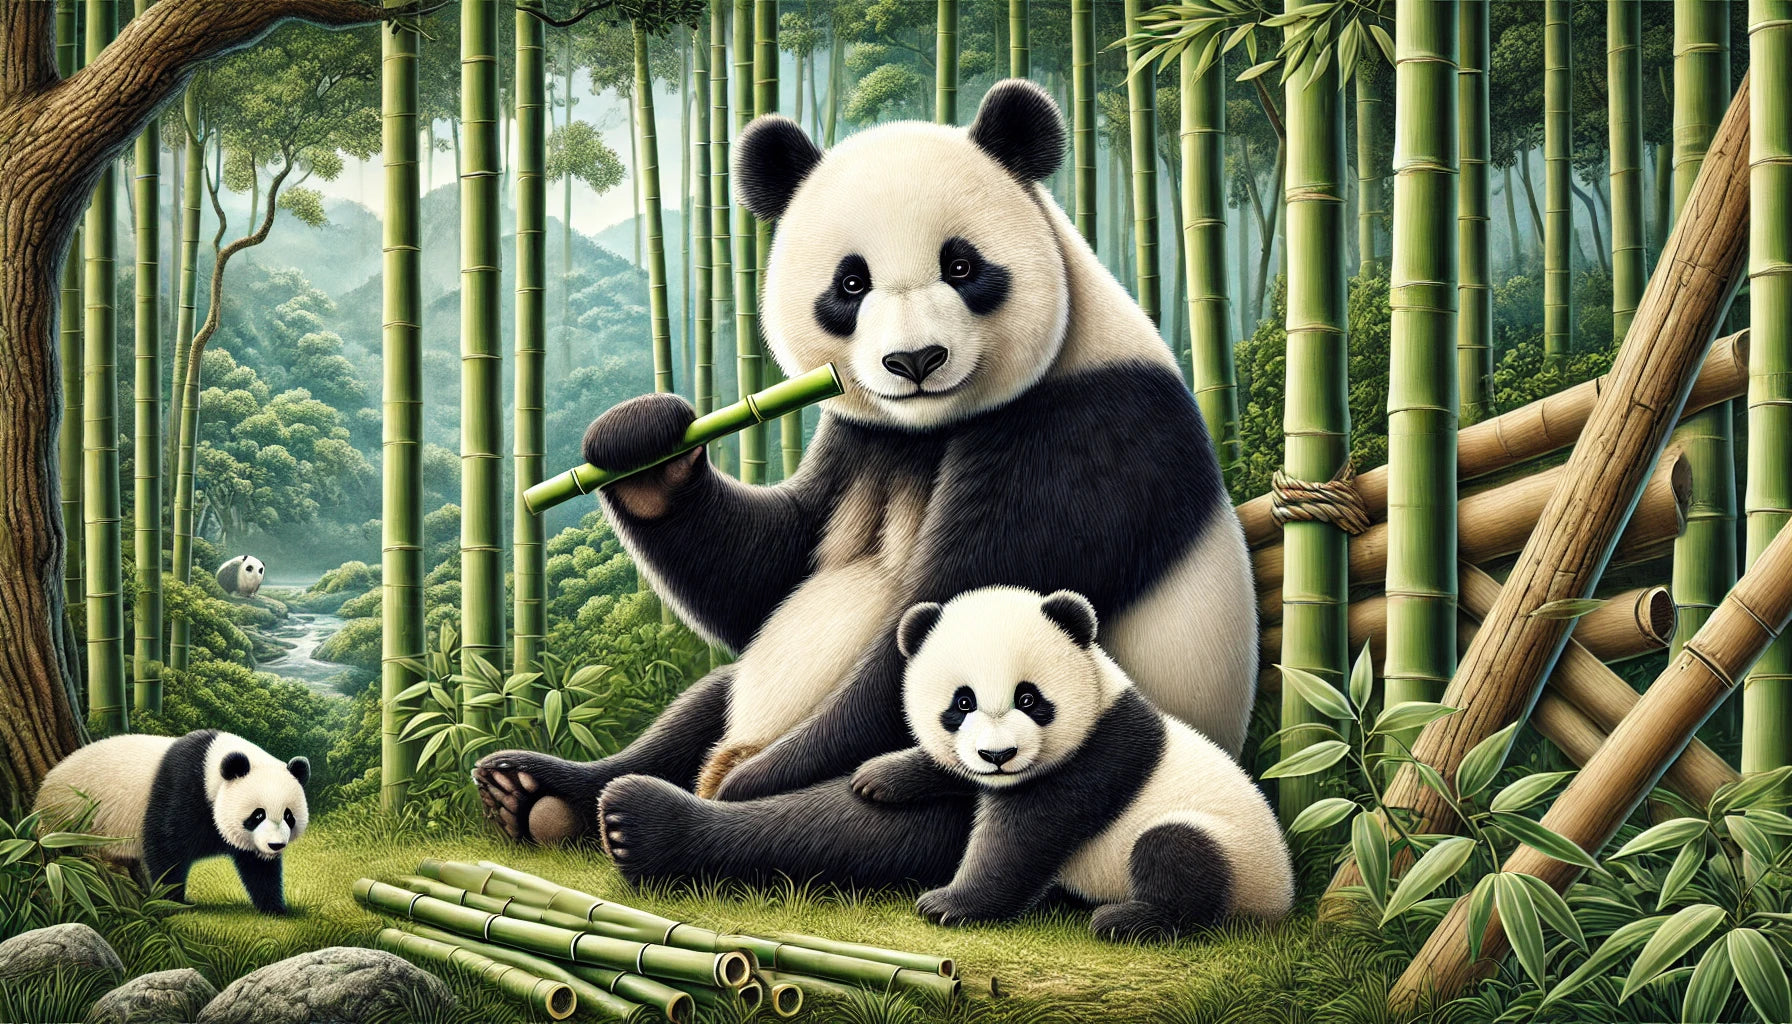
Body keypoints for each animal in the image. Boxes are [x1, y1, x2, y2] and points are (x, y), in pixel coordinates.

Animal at [34, 730, 309, 914]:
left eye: (289, 816)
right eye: (258, 815)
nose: (275, 845)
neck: (212, 768)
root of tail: (45, 783)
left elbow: (257, 867)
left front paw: (275, 908)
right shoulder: (182, 790)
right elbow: (165, 847)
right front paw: (173, 902)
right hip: (74, 819)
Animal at [475, 79, 1257, 889]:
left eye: (961, 267)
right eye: (851, 283)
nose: (915, 361)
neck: (934, 425)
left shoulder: (1083, 436)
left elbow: (956, 617)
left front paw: (755, 779)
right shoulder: (861, 439)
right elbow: (766, 576)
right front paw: (642, 442)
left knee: (868, 826)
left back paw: (666, 816)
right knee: (705, 701)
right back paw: (536, 791)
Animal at [850, 587, 1292, 939]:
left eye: (1028, 699)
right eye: (963, 703)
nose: (998, 756)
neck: (1099, 702)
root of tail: (1282, 898)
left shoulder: (1095, 760)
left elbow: (1023, 838)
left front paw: (947, 904)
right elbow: (958, 770)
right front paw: (877, 777)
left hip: (1234, 852)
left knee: (1177, 853)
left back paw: (1126, 920)